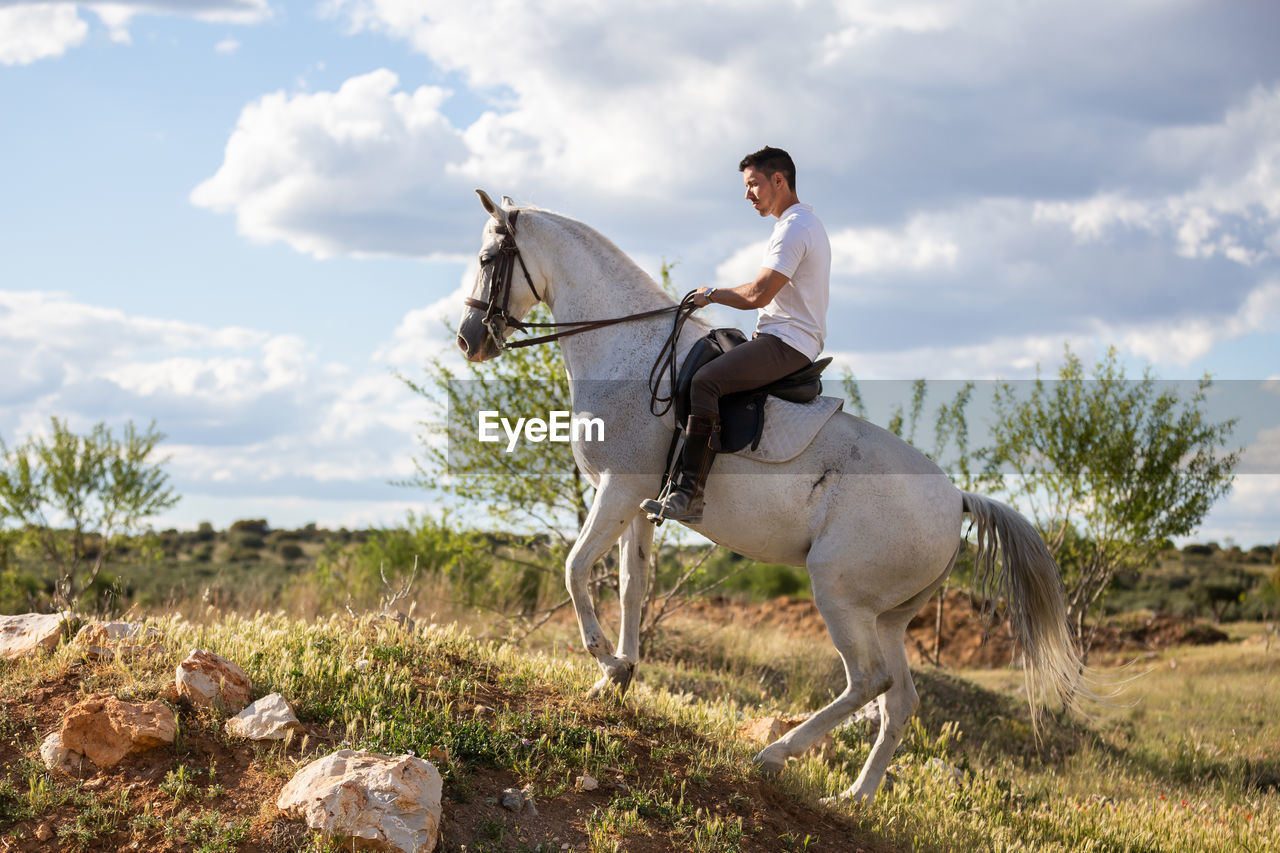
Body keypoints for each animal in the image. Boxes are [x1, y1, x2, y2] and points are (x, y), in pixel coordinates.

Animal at [455, 190, 1085, 799]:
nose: (468, 340)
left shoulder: (618, 488)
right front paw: (617, 677)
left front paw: (607, 662)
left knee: (868, 681)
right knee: (900, 700)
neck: (623, 345)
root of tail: (957, 500)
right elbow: (633, 588)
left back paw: (774, 756)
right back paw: (853, 798)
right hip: (886, 616)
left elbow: (574, 568)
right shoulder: (635, 502)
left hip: (839, 593)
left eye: (487, 260)